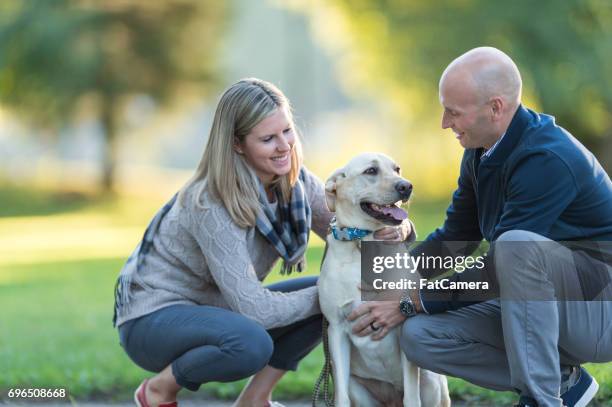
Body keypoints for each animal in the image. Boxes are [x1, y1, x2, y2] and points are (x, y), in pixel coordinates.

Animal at [318, 154, 452, 407]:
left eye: (397, 169)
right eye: (371, 171)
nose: (406, 186)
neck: (364, 242)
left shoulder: (402, 324)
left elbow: (411, 396)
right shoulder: (336, 330)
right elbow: (340, 396)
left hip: (432, 382)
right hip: (357, 386)